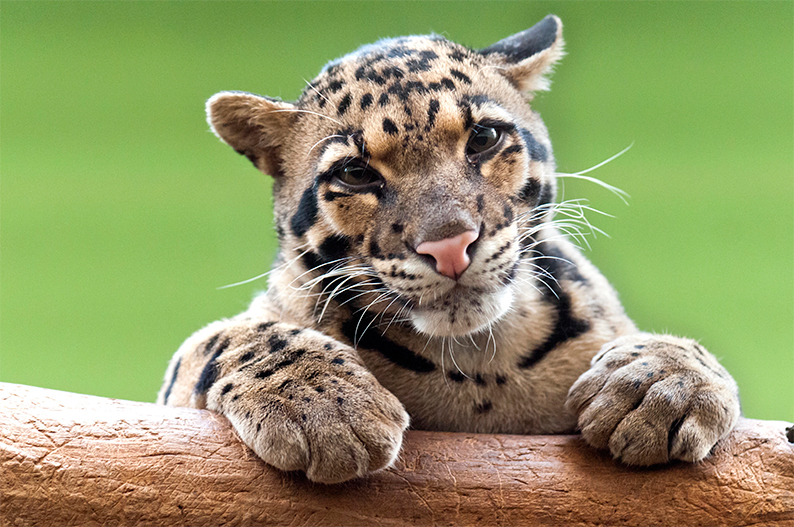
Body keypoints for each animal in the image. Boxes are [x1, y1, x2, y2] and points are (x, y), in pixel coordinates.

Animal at [158, 15, 740, 484]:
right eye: (355, 173)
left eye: (483, 138)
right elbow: (230, 336)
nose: (450, 245)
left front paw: (662, 382)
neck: (479, 365)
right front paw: (323, 405)